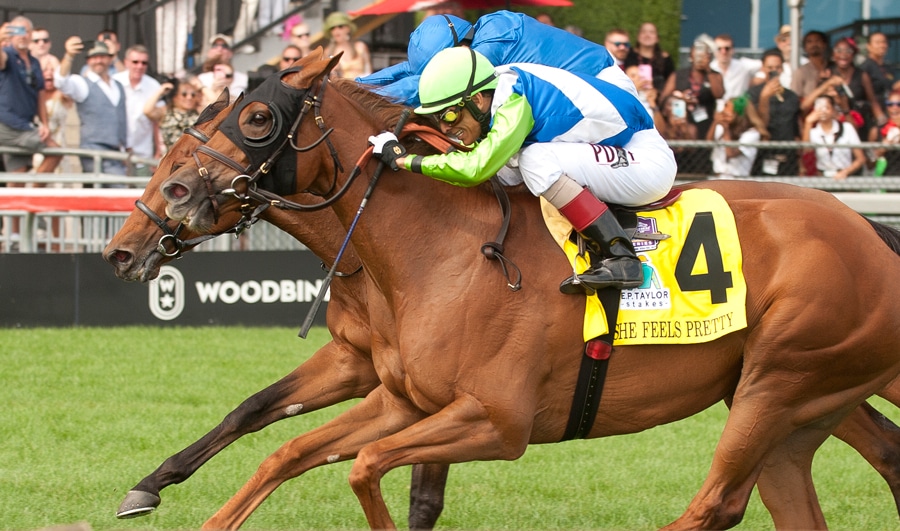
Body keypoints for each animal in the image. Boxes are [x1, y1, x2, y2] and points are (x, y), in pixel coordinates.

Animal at [106, 83, 900, 529]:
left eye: (256, 118)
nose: (124, 244)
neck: (431, 249)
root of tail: (867, 230)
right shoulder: (392, 387)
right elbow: (282, 438)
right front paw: (150, 489)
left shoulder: (496, 420)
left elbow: (370, 470)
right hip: (796, 403)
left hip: (778, 382)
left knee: (717, 504)